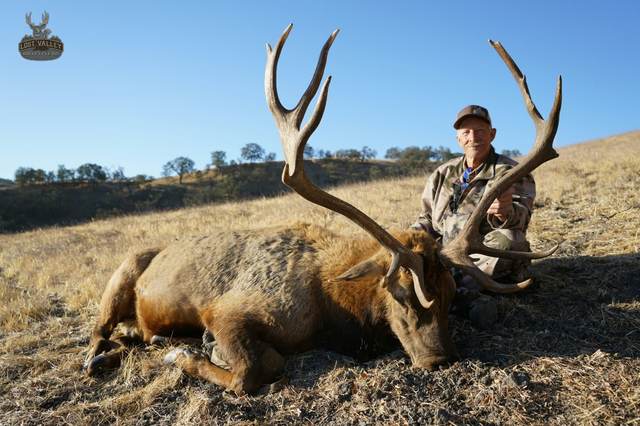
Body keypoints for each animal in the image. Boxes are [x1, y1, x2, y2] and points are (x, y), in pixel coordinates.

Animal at [84, 25, 561, 396]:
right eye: (402, 295)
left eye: (448, 294)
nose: (440, 358)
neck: (330, 308)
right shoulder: (226, 310)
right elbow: (252, 371)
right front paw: (182, 353)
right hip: (121, 274)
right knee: (98, 329)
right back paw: (100, 358)